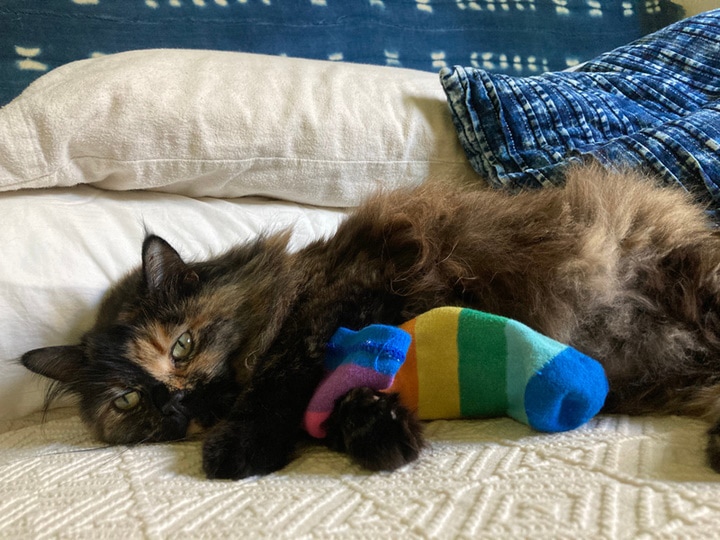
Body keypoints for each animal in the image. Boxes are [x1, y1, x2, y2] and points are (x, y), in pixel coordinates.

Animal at [16, 167, 720, 478]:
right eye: (129, 400)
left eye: (181, 347)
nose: (175, 402)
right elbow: (333, 396)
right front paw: (380, 434)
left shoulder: (353, 293)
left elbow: (284, 382)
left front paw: (236, 451)